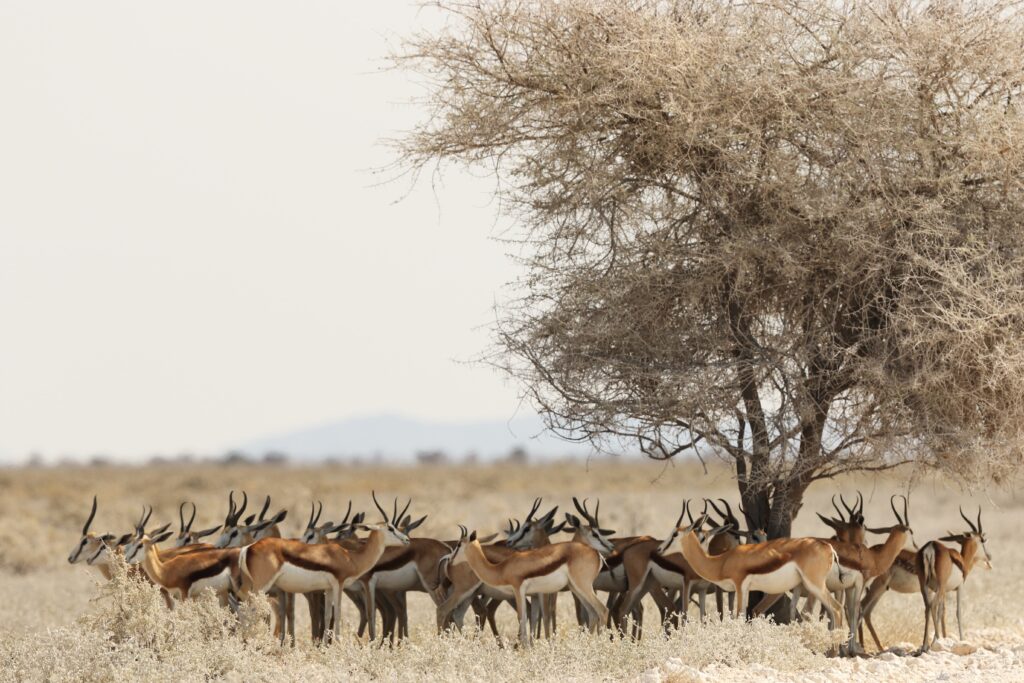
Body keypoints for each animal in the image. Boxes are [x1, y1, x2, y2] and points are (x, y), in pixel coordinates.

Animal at [239, 493, 411, 643]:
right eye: (390, 528)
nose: (407, 540)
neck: (350, 557)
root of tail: (248, 548)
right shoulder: (338, 584)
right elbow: (338, 613)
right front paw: (338, 645)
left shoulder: (328, 588)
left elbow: (328, 615)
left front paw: (324, 646)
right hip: (261, 587)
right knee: (248, 611)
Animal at [448, 524, 606, 647]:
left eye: (458, 544)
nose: (449, 560)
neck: (501, 569)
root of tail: (596, 553)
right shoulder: (529, 595)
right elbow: (531, 617)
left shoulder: (518, 590)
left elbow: (522, 617)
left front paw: (524, 648)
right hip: (576, 588)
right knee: (593, 613)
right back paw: (585, 646)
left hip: (583, 587)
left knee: (602, 610)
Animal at [921, 507, 991, 651]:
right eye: (982, 540)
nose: (988, 557)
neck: (961, 560)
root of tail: (931, 546)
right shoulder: (959, 588)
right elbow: (958, 612)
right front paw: (961, 639)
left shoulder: (943, 591)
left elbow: (942, 611)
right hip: (940, 587)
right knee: (933, 605)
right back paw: (935, 640)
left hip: (924, 586)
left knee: (928, 607)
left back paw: (924, 645)